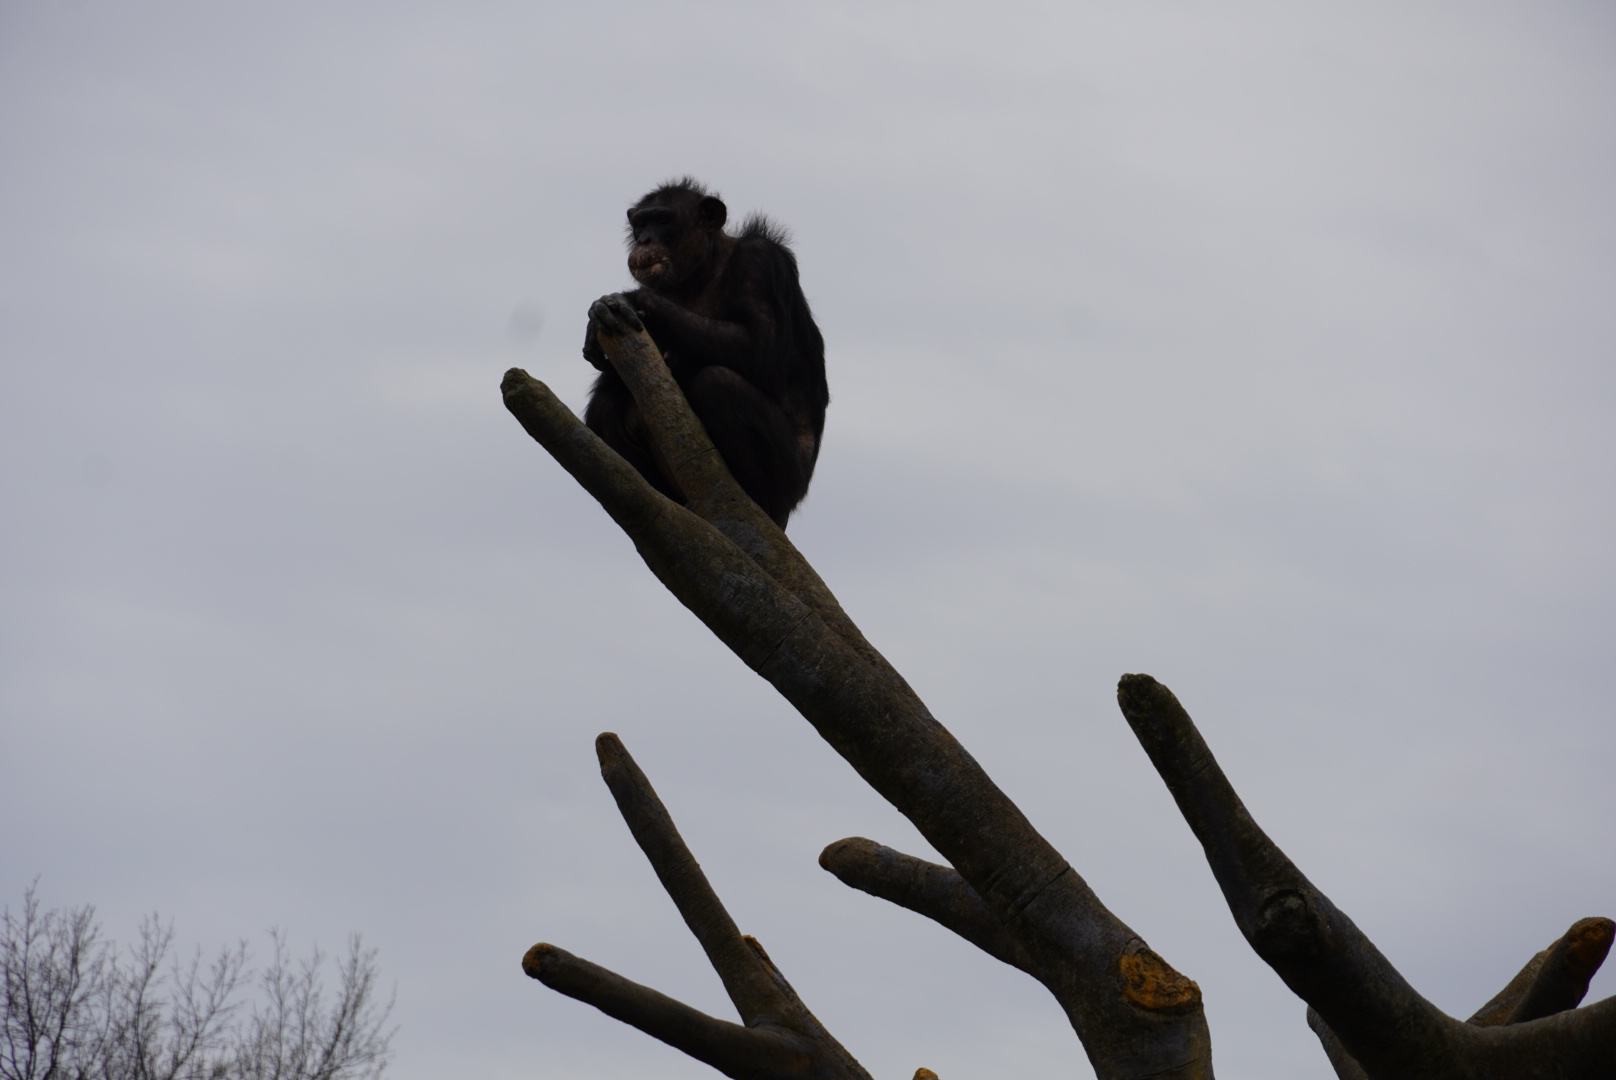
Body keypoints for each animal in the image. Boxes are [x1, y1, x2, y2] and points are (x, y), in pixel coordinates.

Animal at [581, 179, 827, 528]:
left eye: (663, 220)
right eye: (641, 222)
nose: (644, 239)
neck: (702, 270)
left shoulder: (760, 261)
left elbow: (760, 347)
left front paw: (623, 299)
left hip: (788, 484)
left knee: (718, 384)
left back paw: (755, 503)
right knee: (606, 405)